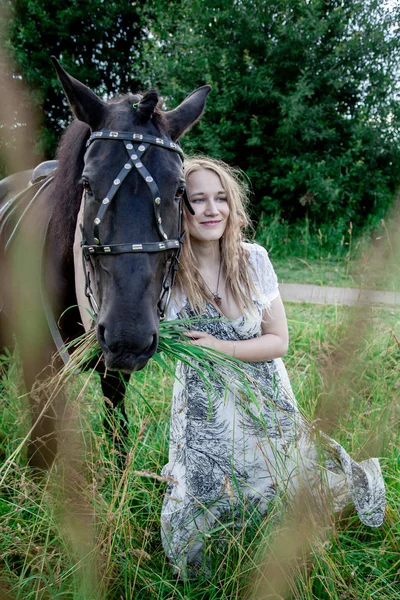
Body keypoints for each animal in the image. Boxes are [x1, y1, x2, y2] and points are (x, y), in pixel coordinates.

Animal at [0, 57, 211, 468]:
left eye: (180, 189)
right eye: (87, 184)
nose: (128, 336)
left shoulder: (113, 373)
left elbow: (117, 432)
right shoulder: (39, 368)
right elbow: (41, 453)